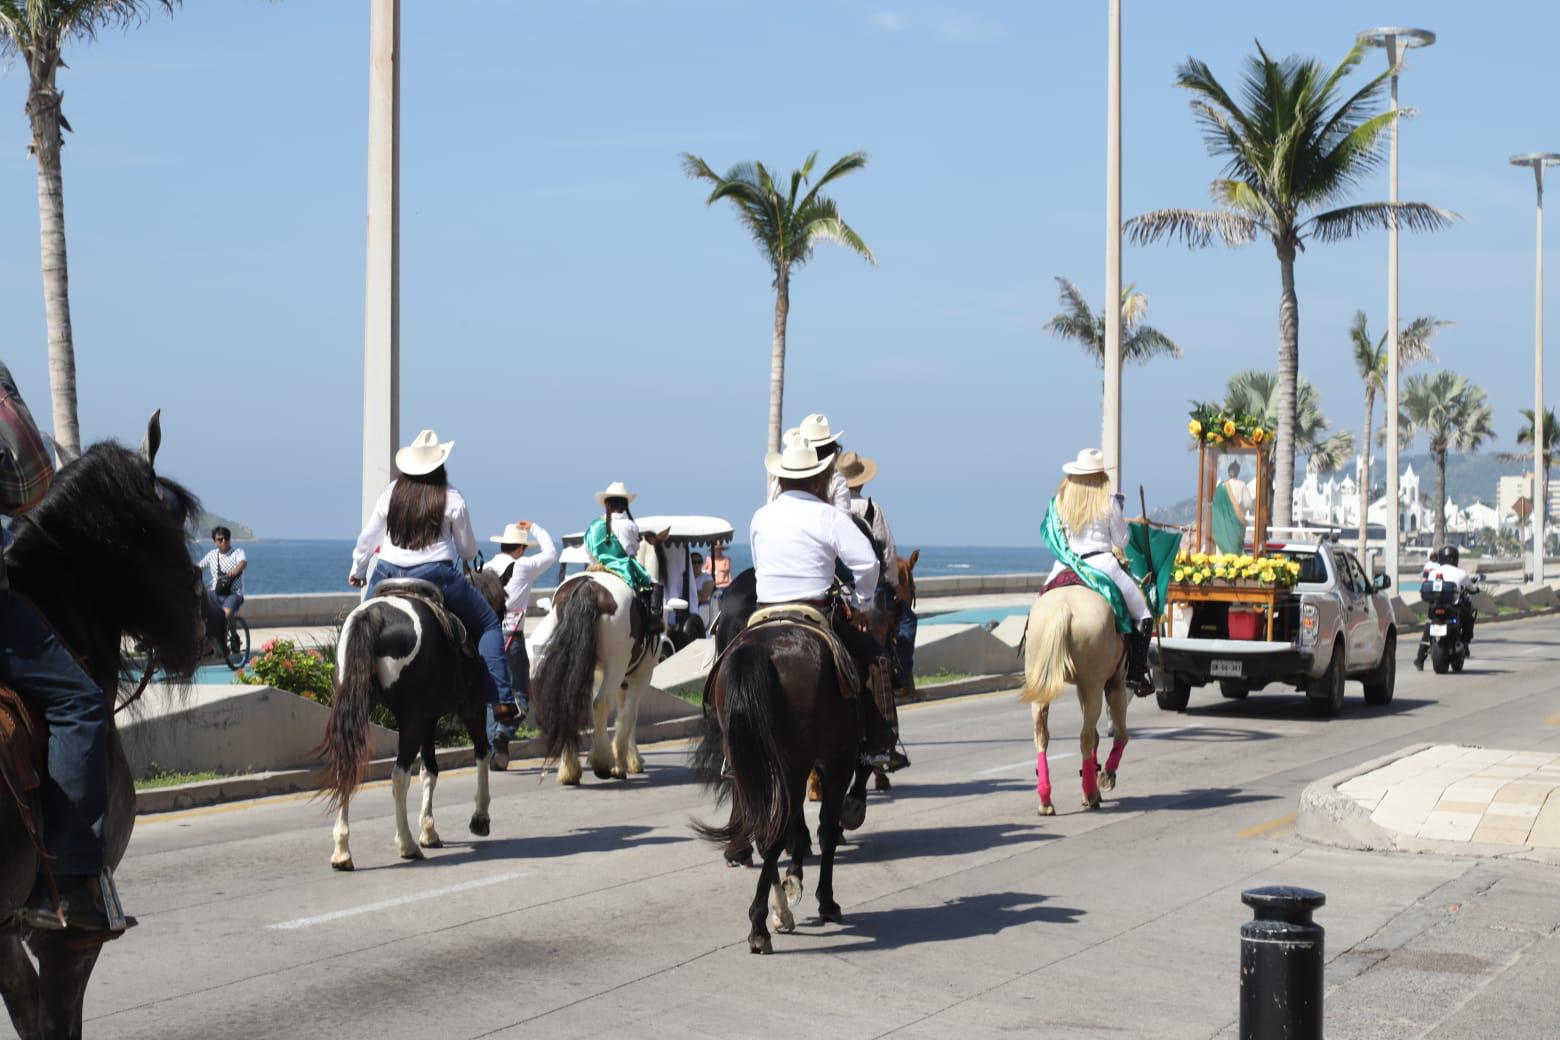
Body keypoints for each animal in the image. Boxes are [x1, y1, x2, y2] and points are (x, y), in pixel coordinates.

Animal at [319, 567, 507, 871]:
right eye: (503, 602)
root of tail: (374, 616)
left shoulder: (428, 718)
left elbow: (429, 769)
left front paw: (429, 830)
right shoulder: (470, 707)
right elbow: (481, 753)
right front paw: (480, 817)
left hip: (362, 705)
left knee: (346, 765)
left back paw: (342, 851)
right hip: (411, 718)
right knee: (399, 775)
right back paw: (406, 844)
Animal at [530, 530, 668, 785]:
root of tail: (587, 587)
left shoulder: (615, 677)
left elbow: (624, 714)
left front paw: (631, 759)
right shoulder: (640, 674)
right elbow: (629, 715)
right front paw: (621, 762)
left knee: (570, 701)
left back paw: (569, 769)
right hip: (616, 665)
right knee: (599, 704)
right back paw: (602, 762)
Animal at [690, 618, 869, 954]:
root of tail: (758, 649)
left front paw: (792, 883)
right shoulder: (837, 763)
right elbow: (826, 830)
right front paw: (825, 901)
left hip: (749, 766)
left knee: (763, 831)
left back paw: (776, 912)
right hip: (796, 765)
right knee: (774, 834)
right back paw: (761, 927)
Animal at [1017, 585, 1131, 815]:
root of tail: (1064, 608)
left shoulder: (1081, 688)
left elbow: (1097, 735)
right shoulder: (1116, 681)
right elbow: (1120, 735)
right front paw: (1106, 775)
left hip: (1042, 684)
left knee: (1042, 736)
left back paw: (1046, 799)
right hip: (1093, 685)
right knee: (1085, 736)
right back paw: (1091, 793)